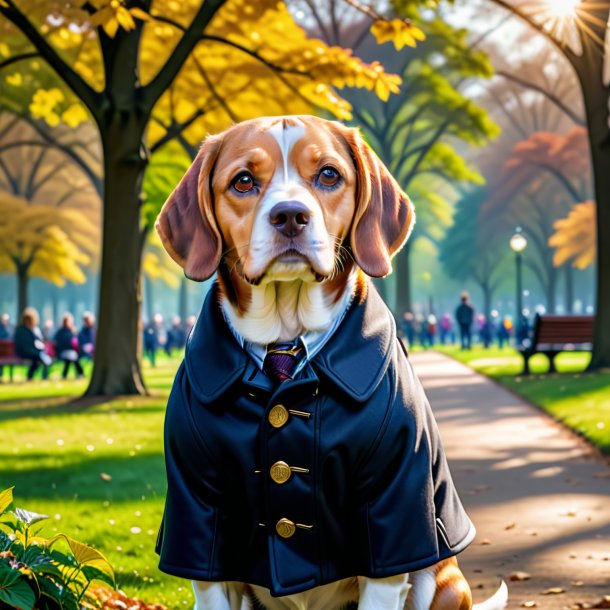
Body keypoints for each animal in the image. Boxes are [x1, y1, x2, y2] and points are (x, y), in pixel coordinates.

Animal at [154, 115, 506, 608]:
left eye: (328, 175)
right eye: (243, 181)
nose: (290, 216)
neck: (286, 336)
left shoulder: (392, 518)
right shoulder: (202, 523)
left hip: (439, 581)